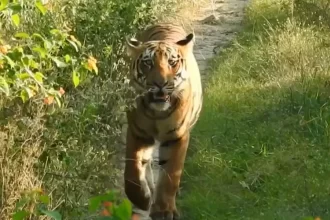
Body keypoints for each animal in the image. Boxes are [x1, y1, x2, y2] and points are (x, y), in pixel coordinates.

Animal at [123, 22, 202, 220]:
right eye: (147, 63)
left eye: (172, 63)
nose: (160, 83)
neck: (157, 114)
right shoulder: (138, 133)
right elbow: (132, 172)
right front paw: (142, 199)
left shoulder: (177, 137)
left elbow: (170, 175)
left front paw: (164, 211)